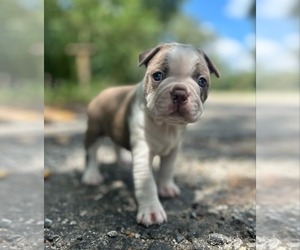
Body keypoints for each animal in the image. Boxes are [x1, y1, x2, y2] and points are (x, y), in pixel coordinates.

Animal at [82, 42, 220, 227]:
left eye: (202, 81)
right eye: (157, 76)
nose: (180, 92)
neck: (166, 126)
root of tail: (104, 92)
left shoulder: (173, 149)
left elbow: (167, 169)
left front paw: (166, 188)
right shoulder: (143, 152)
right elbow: (147, 184)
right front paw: (152, 212)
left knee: (116, 144)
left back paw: (122, 160)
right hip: (94, 130)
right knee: (91, 152)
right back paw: (91, 176)